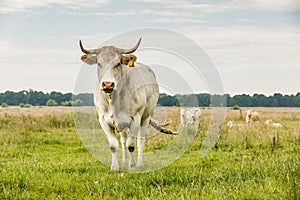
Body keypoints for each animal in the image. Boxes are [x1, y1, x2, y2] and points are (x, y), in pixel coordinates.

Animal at [78, 37, 175, 170]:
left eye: (118, 63)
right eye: (99, 63)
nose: (108, 84)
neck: (113, 99)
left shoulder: (135, 118)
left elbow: (131, 145)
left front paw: (132, 166)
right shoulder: (103, 120)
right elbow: (114, 145)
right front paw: (115, 167)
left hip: (145, 117)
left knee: (140, 140)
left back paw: (139, 163)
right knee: (123, 140)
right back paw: (124, 162)